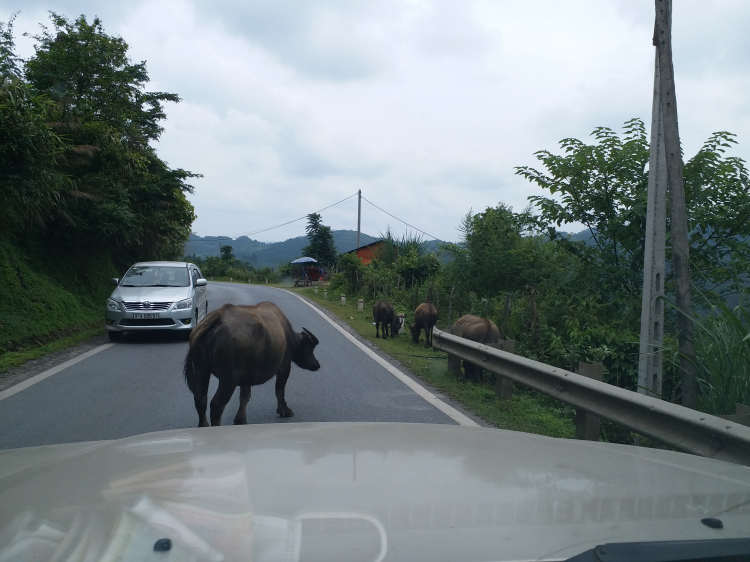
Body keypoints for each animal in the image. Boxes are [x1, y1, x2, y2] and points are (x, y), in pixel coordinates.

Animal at [186, 302, 324, 424]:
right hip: (229, 377)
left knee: (200, 399)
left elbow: (245, 396)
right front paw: (284, 411)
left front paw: (240, 419)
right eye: (311, 348)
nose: (316, 364)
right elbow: (279, 390)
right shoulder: (284, 366)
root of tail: (218, 316)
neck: (287, 336)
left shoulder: (245, 376)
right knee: (217, 404)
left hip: (201, 368)